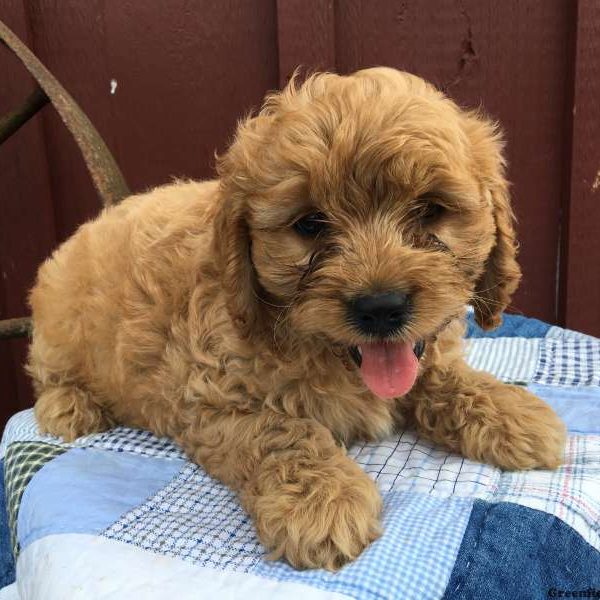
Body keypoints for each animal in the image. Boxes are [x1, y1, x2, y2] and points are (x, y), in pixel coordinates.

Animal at [25, 68, 564, 568]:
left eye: (431, 210)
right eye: (309, 224)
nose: (381, 308)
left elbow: (443, 376)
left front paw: (513, 413)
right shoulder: (212, 399)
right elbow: (283, 433)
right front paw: (323, 501)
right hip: (57, 321)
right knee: (49, 376)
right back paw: (71, 407)